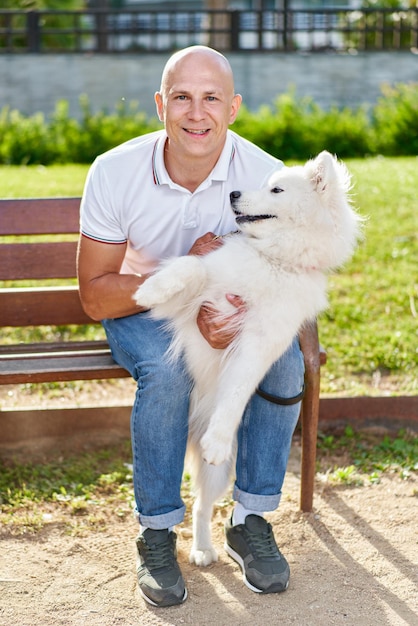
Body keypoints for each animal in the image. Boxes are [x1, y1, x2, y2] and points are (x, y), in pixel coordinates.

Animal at [133, 149, 360, 564]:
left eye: (277, 190)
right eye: (264, 183)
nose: (234, 193)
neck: (275, 260)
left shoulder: (260, 343)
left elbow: (237, 393)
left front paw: (218, 439)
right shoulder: (195, 301)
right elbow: (190, 265)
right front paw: (150, 289)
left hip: (220, 472)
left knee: (201, 507)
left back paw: (204, 549)